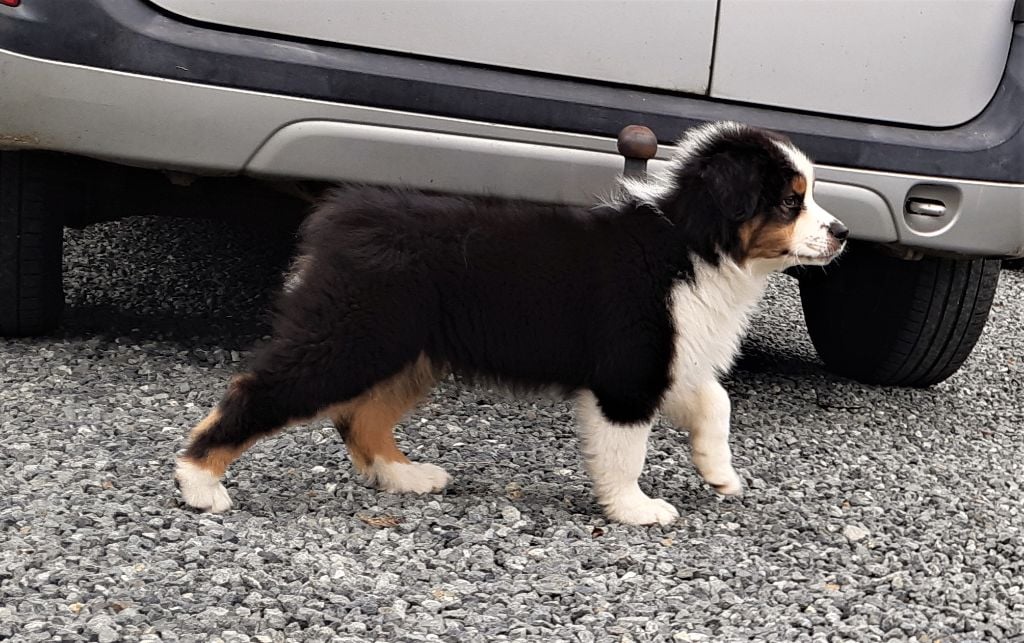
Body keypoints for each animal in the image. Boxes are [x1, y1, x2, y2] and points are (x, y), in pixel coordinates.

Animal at [178, 122, 847, 524]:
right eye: (789, 201)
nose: (841, 233)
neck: (692, 242)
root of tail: (343, 215)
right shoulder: (629, 368)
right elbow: (626, 450)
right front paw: (634, 509)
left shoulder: (669, 356)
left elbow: (715, 400)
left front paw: (719, 472)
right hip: (354, 338)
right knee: (260, 391)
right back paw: (198, 481)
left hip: (408, 350)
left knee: (359, 418)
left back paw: (405, 475)